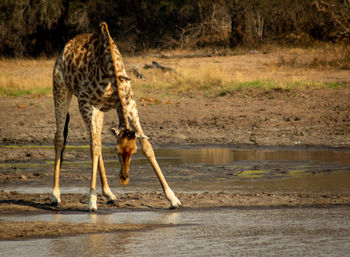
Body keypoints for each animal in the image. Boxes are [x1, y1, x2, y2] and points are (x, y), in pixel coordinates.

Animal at [52, 21, 182, 210]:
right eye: (116, 150)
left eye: (133, 151)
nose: (124, 179)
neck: (109, 70)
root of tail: (64, 48)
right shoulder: (85, 102)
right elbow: (96, 147)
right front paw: (91, 200)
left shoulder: (130, 104)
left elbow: (147, 147)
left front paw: (172, 198)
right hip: (61, 89)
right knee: (60, 138)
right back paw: (55, 195)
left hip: (98, 111)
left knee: (95, 141)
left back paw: (109, 194)